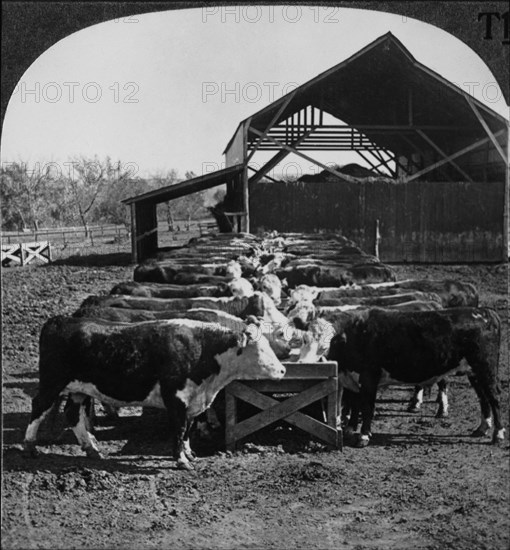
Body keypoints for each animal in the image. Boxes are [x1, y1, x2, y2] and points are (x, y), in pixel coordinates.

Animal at [23, 320, 284, 470]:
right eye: (260, 350)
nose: (282, 370)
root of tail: (59, 321)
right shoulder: (176, 398)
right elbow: (179, 428)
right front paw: (181, 460)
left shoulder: (192, 402)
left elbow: (188, 429)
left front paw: (189, 454)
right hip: (52, 382)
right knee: (38, 407)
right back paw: (30, 447)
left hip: (78, 390)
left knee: (72, 414)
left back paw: (92, 449)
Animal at [324, 310, 504, 448]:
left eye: (325, 345)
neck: (357, 336)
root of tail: (486, 313)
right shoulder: (354, 380)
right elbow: (354, 404)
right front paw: (349, 429)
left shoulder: (369, 378)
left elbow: (366, 407)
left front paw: (363, 437)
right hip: (474, 373)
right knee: (483, 397)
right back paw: (482, 428)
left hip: (485, 368)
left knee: (494, 398)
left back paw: (498, 434)